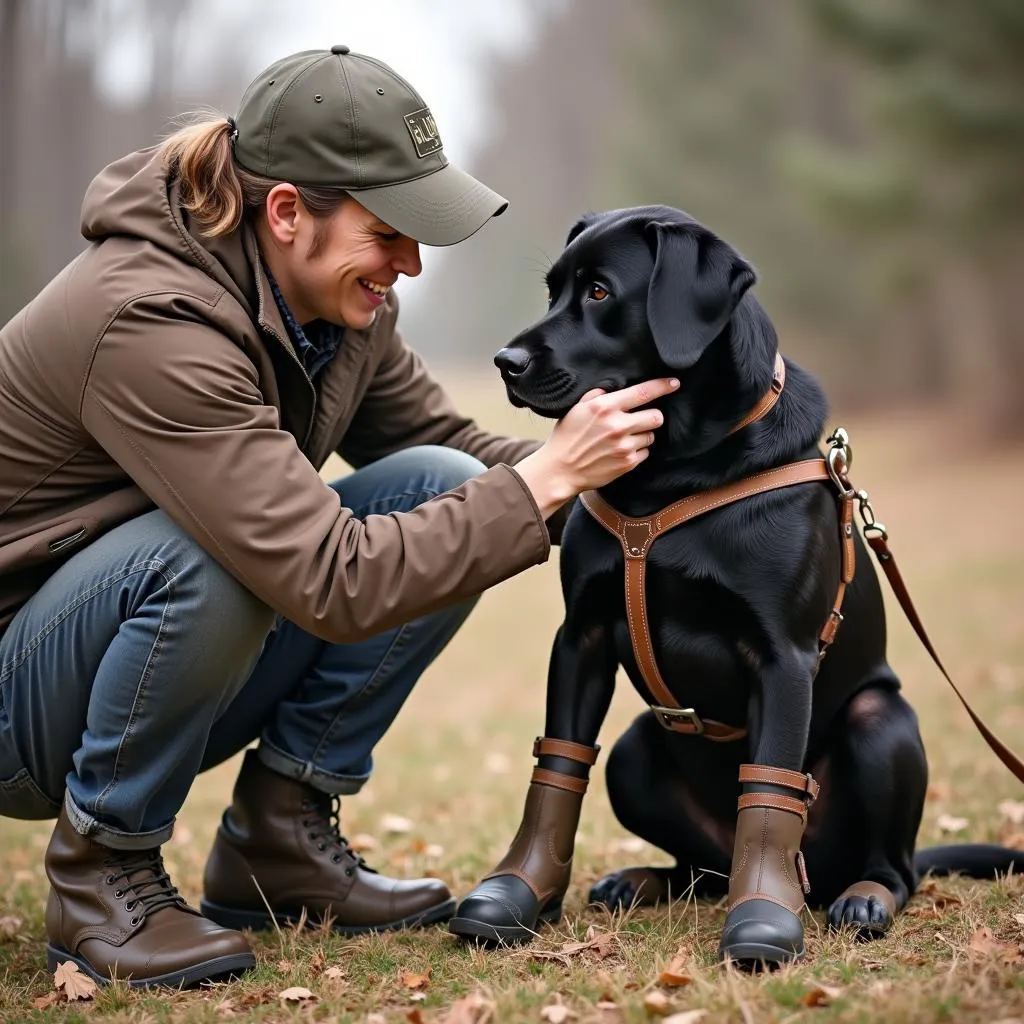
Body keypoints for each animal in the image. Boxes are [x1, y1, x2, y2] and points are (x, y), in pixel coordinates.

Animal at [450, 203, 1024, 962]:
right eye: (554, 291)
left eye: (600, 292)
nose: (505, 362)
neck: (670, 471)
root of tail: (821, 874)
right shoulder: (582, 635)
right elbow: (560, 762)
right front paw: (519, 895)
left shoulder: (782, 655)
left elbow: (771, 785)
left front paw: (763, 919)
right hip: (635, 751)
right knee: (702, 866)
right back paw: (641, 880)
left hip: (882, 725)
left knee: (891, 865)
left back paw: (863, 897)